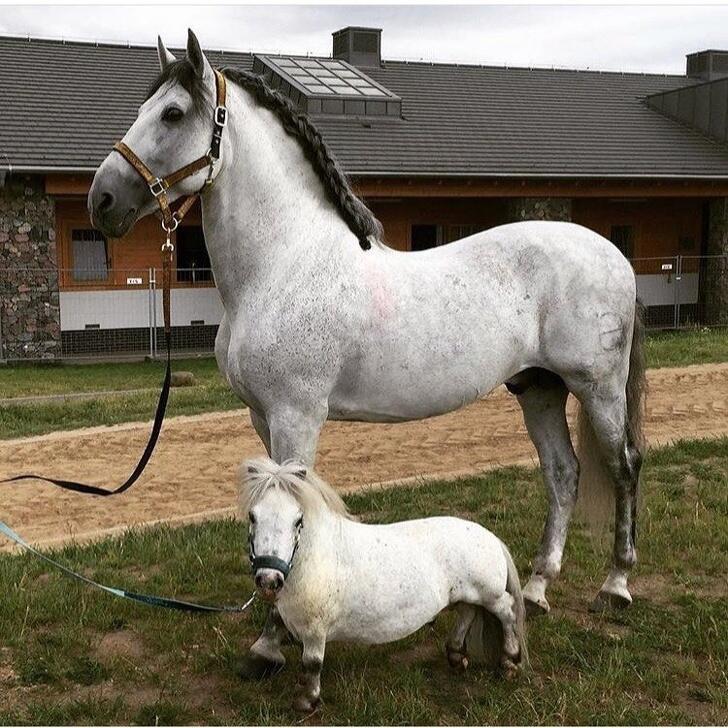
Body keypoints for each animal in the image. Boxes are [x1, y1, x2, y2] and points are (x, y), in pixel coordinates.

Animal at [89, 31, 648, 672]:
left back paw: (616, 586)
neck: (283, 263)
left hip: (597, 386)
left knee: (623, 465)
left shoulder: (296, 415)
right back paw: (535, 589)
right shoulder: (262, 417)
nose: (101, 200)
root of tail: (614, 255)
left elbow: (291, 497)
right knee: (562, 473)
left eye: (174, 114)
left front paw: (270, 643)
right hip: (539, 388)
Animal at [242, 458, 528, 712]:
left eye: (298, 520)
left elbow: (312, 663)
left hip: (489, 594)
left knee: (508, 611)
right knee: (467, 613)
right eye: (253, 517)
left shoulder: (315, 628)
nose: (269, 579)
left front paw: (307, 700)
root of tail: (489, 536)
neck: (316, 556)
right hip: (466, 594)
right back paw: (456, 656)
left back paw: (509, 662)